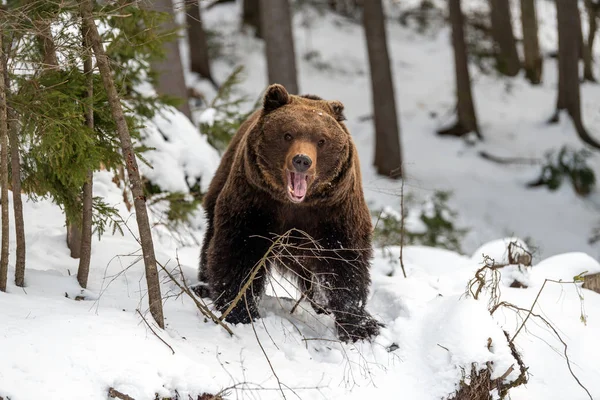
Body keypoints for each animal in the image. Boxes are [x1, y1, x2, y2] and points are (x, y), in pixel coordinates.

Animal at [199, 83, 382, 342]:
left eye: (321, 140)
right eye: (288, 135)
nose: (302, 160)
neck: (296, 204)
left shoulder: (335, 211)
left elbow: (345, 262)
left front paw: (361, 326)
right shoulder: (256, 202)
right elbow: (239, 251)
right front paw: (239, 311)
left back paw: (320, 303)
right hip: (224, 176)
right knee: (212, 234)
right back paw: (203, 284)